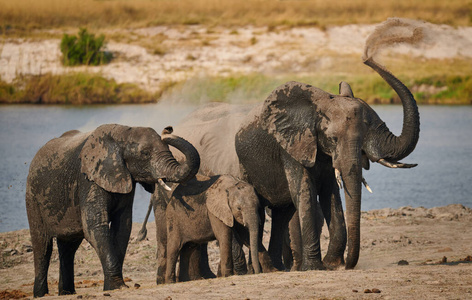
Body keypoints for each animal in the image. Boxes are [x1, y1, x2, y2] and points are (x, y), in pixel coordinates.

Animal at [236, 56, 420, 270]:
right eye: (333, 139)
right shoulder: (291, 146)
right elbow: (305, 191)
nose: (366, 58)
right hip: (244, 169)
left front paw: (333, 264)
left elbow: (331, 192)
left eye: (364, 136)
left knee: (282, 214)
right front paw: (314, 268)